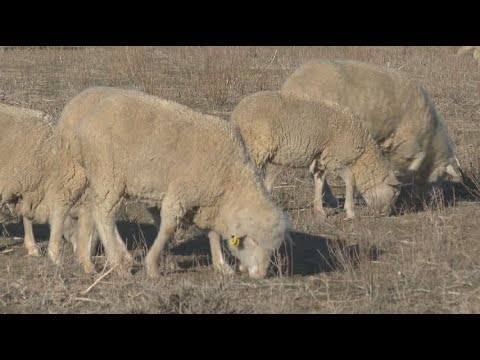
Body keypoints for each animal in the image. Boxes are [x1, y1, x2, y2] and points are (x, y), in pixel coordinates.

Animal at [56, 86, 288, 278]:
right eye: (254, 240)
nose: (261, 275)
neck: (230, 177)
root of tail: (88, 118)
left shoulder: (208, 202)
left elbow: (212, 234)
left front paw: (221, 265)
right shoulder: (181, 194)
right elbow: (167, 228)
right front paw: (152, 266)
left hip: (98, 176)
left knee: (91, 211)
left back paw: (90, 259)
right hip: (108, 175)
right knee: (103, 215)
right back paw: (118, 264)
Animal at [231, 90, 400, 219]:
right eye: (394, 194)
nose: (386, 214)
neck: (362, 153)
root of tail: (236, 113)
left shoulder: (321, 159)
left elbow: (319, 182)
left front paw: (319, 210)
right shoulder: (335, 159)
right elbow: (350, 180)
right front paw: (350, 212)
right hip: (255, 148)